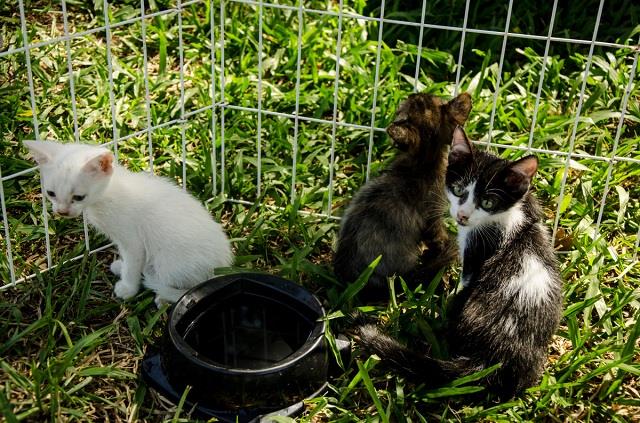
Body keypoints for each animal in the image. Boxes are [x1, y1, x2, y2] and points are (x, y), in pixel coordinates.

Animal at [25, 141, 235, 306]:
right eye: (51, 193)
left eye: (78, 197)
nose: (62, 212)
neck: (107, 195)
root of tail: (223, 267)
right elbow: (129, 261)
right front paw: (122, 267)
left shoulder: (133, 240)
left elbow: (133, 263)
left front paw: (128, 288)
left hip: (170, 264)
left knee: (189, 287)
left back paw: (163, 296)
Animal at [352, 128, 564, 398]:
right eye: (458, 190)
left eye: (488, 203)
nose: (462, 216)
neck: (508, 215)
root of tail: (493, 360)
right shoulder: (531, 207)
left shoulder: (477, 249)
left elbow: (466, 277)